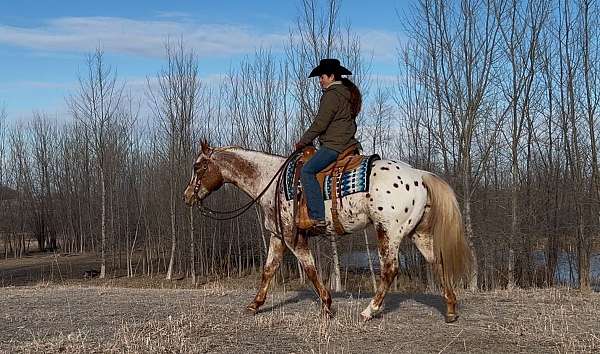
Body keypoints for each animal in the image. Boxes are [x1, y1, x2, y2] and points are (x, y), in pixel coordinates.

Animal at [183, 142, 474, 324]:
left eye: (198, 167)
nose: (187, 196)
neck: (271, 181)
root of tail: (419, 175)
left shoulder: (294, 238)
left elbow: (311, 270)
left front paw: (327, 306)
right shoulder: (277, 236)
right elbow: (268, 270)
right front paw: (254, 305)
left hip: (388, 232)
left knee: (390, 270)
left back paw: (368, 312)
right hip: (418, 233)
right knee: (437, 263)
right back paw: (450, 310)